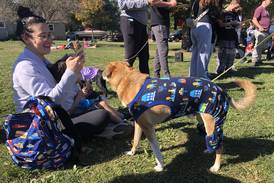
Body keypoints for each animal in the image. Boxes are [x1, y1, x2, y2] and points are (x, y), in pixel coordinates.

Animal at [101, 61, 256, 172]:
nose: (99, 73)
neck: (127, 79)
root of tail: (222, 91)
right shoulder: (140, 124)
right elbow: (135, 140)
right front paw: (132, 152)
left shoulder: (149, 128)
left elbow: (156, 150)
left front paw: (160, 166)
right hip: (202, 118)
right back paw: (208, 150)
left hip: (212, 123)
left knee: (219, 146)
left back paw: (216, 167)